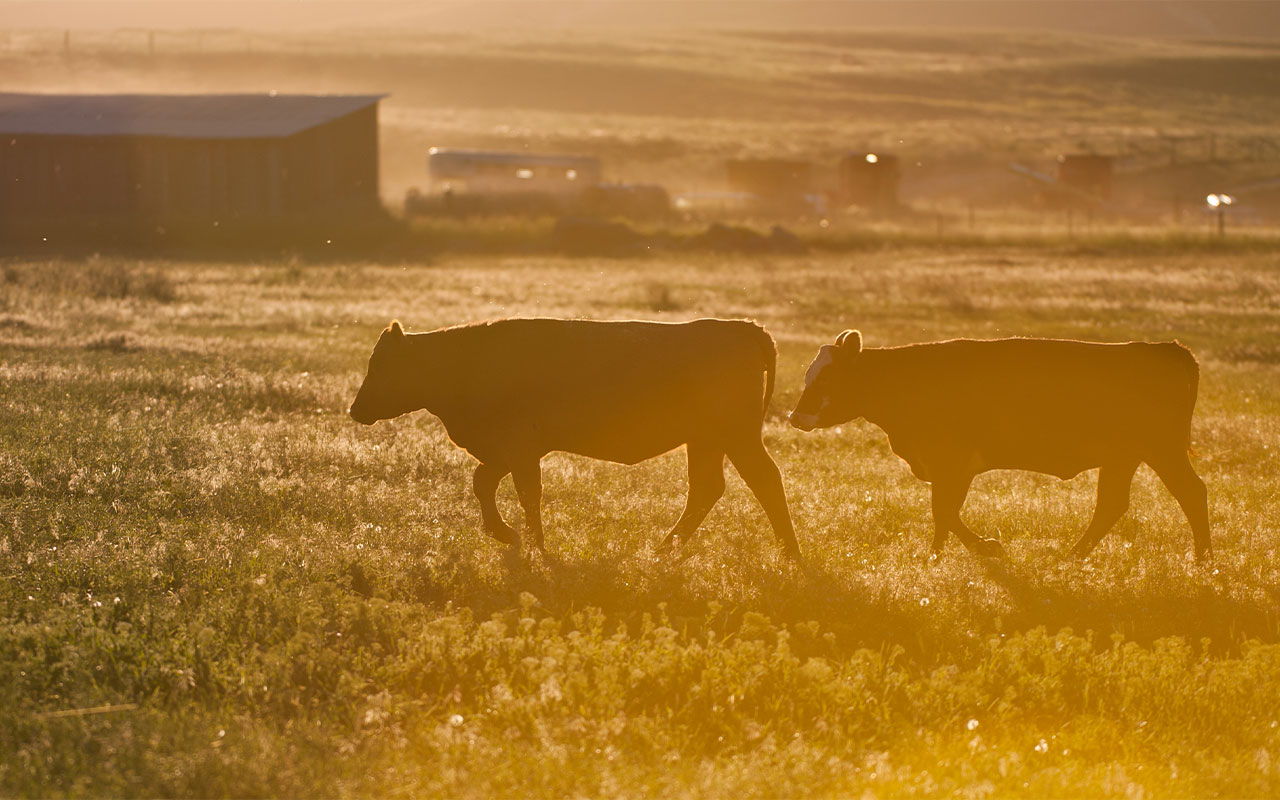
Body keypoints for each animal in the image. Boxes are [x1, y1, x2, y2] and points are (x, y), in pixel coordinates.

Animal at [788, 327, 1208, 558]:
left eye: (827, 379)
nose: (795, 417)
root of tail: (1165, 349)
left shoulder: (952, 464)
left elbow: (943, 512)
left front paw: (944, 555)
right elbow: (946, 512)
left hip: (1161, 450)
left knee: (1191, 493)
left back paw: (1204, 561)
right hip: (1124, 457)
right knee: (1111, 505)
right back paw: (1072, 558)